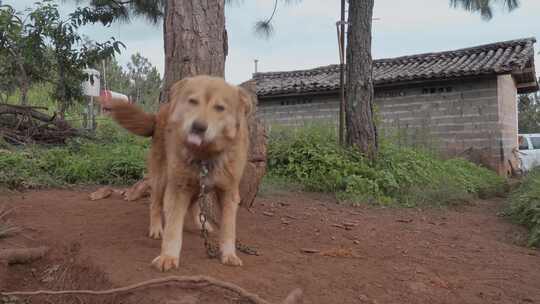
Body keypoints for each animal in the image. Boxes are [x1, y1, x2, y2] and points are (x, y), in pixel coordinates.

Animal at [103, 76, 251, 270]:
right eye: (193, 101)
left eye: (220, 108)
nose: (198, 127)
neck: (205, 155)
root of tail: (161, 112)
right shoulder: (178, 188)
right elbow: (173, 228)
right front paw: (168, 256)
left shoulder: (229, 192)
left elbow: (228, 229)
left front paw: (229, 254)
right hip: (162, 178)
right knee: (155, 204)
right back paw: (156, 228)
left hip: (198, 186)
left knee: (195, 205)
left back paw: (201, 224)